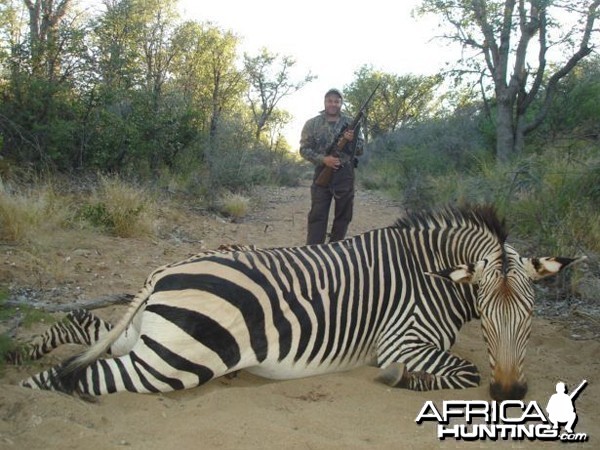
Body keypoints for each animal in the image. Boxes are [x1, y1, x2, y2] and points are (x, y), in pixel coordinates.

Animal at [14, 206, 584, 400]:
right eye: (485, 317)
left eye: (530, 318)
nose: (510, 393)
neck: (430, 276)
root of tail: (162, 275)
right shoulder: (404, 342)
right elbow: (462, 371)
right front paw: (399, 380)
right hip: (174, 363)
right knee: (78, 378)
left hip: (143, 338)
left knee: (79, 334)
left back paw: (17, 354)